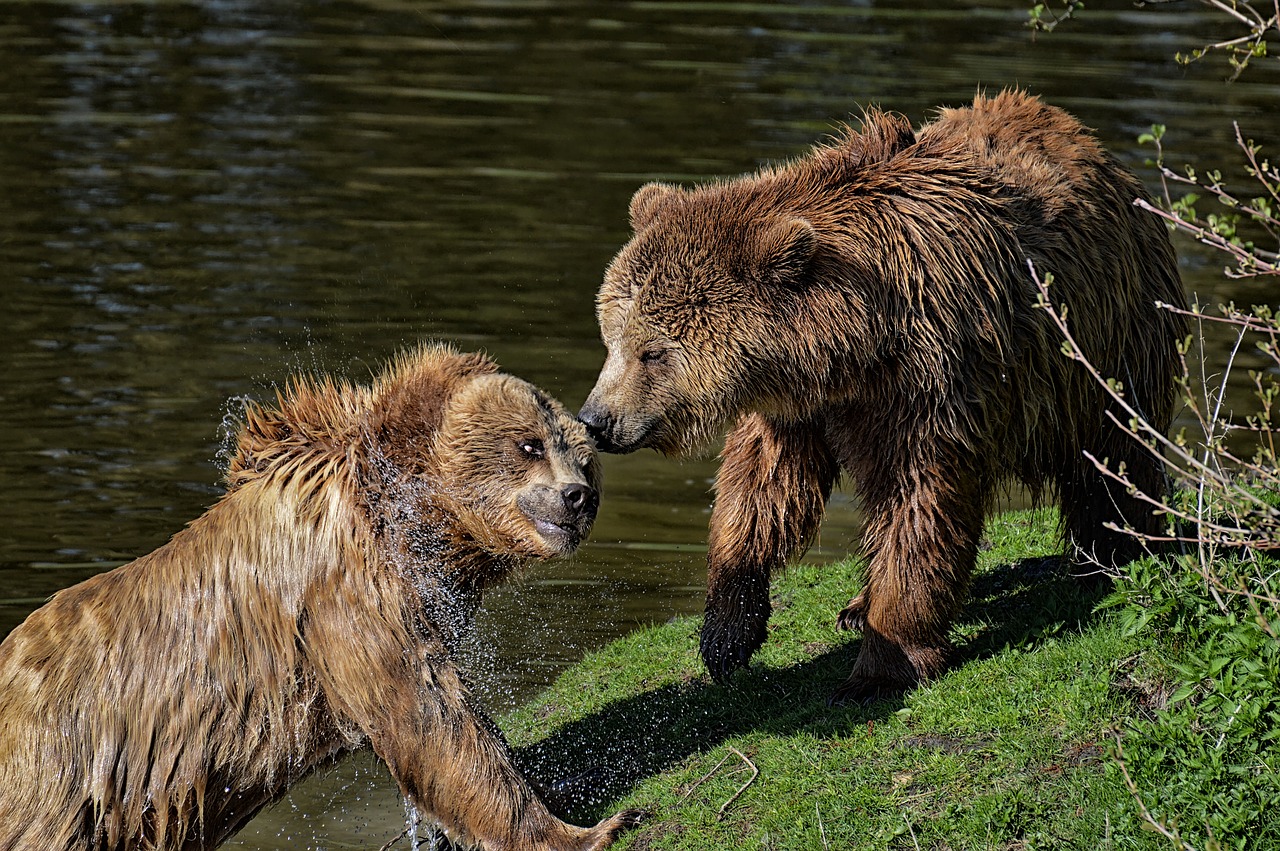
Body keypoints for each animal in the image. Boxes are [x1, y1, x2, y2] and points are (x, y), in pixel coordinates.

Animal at [0, 342, 640, 849]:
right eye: (530, 445)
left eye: (583, 457)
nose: (577, 497)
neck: (407, 512)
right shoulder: (347, 588)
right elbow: (431, 720)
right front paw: (591, 829)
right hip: (56, 786)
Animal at [578, 91, 1177, 701]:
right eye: (613, 336)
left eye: (653, 352)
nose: (596, 420)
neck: (851, 347)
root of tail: (1091, 145)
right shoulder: (798, 408)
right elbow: (762, 491)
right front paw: (727, 632)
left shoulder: (927, 383)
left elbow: (916, 502)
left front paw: (879, 669)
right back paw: (854, 604)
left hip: (1106, 344)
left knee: (1116, 456)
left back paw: (1120, 550)